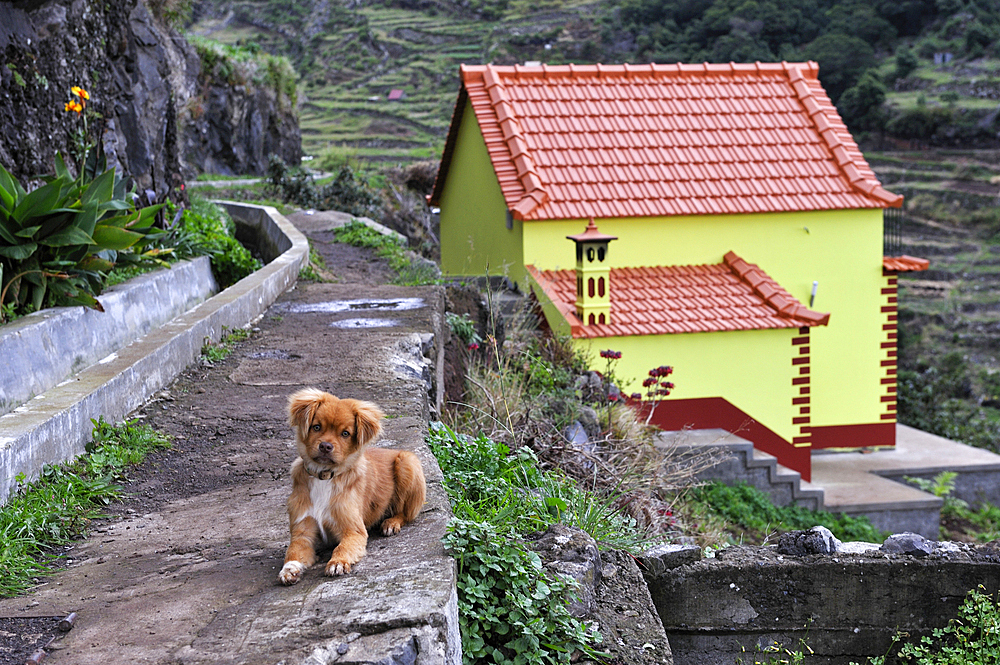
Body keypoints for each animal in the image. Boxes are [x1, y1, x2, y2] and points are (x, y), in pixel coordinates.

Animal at [278, 386, 426, 584]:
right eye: (316, 427)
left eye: (345, 433)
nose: (325, 446)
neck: (324, 477)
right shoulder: (303, 530)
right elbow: (293, 551)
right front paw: (289, 569)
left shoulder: (353, 530)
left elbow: (343, 547)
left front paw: (337, 562)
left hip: (407, 461)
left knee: (406, 513)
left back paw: (391, 523)